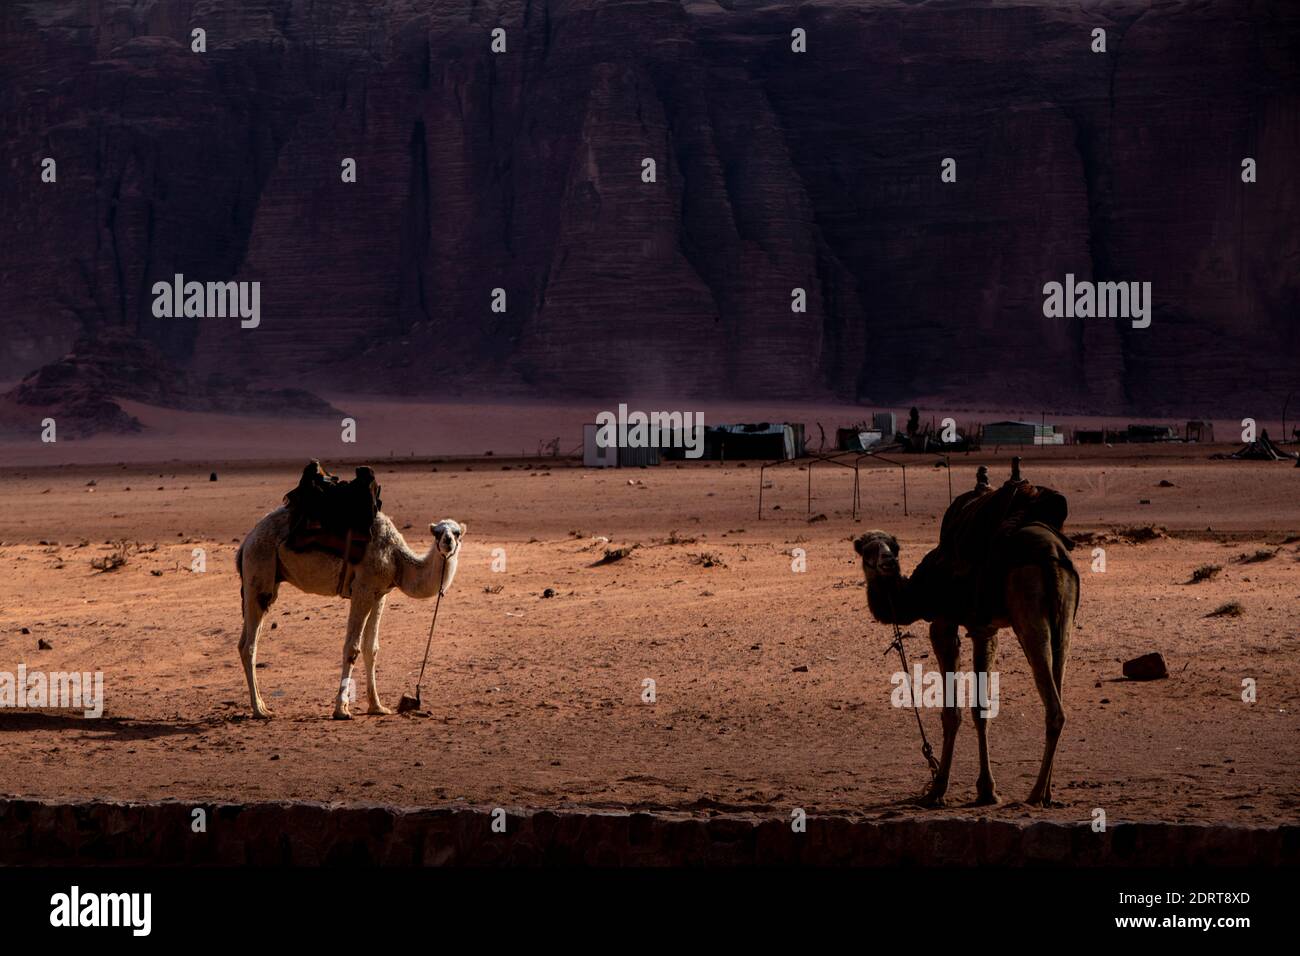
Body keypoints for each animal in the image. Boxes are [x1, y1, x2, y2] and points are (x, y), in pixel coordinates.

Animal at [236, 512, 465, 723]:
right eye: (437, 533)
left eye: (457, 533)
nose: (447, 541)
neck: (396, 558)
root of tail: (246, 542)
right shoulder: (363, 588)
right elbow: (352, 648)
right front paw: (341, 710)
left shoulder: (380, 593)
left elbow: (371, 648)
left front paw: (377, 707)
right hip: (260, 568)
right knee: (249, 644)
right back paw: (259, 710)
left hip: (266, 579)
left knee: (243, 642)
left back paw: (261, 705)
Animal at [857, 522, 1081, 806]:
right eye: (866, 548)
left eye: (894, 547)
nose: (889, 561)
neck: (918, 594)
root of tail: (1053, 554)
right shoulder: (984, 629)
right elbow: (981, 708)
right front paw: (987, 790)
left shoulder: (943, 623)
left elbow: (952, 712)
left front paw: (937, 789)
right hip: (1064, 618)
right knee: (1058, 673)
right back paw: (1048, 793)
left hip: (1026, 604)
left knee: (1054, 708)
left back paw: (1034, 794)